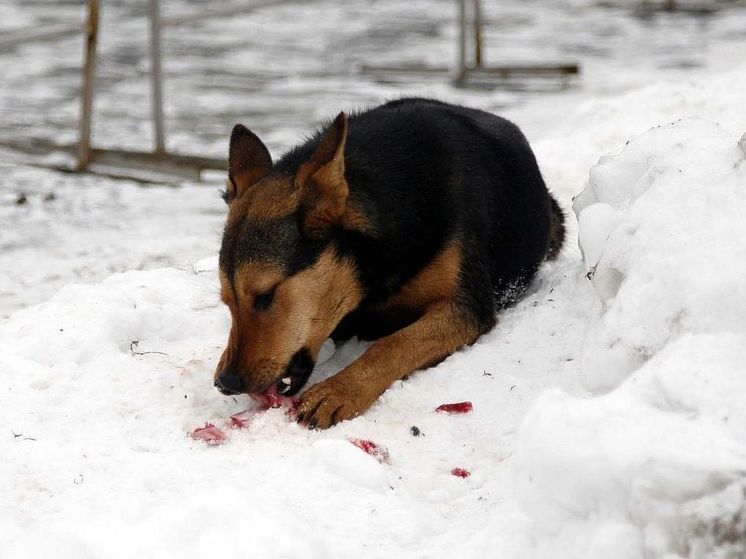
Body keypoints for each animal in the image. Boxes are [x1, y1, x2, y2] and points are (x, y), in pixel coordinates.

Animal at [212, 97, 560, 428]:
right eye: (227, 301)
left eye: (266, 296)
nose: (226, 383)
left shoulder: (467, 308)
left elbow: (394, 344)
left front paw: (341, 390)